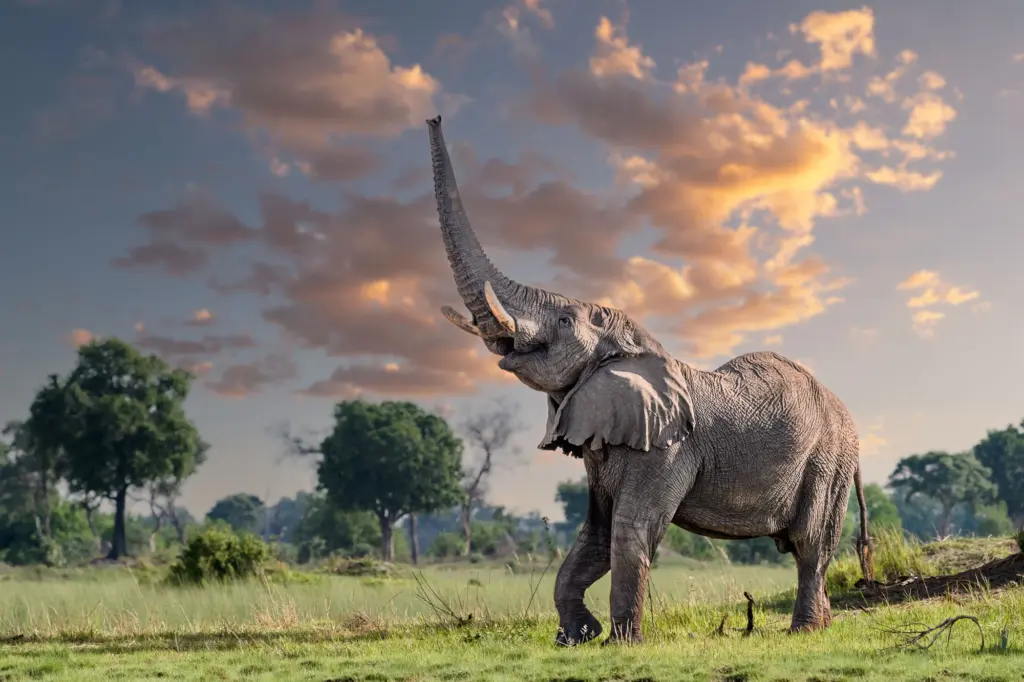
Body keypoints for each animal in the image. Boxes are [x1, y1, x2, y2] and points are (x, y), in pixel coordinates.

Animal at [424, 115, 875, 645]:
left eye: (563, 322)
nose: (434, 117)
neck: (637, 348)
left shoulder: (667, 448)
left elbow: (630, 530)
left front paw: (619, 643)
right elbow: (596, 535)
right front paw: (577, 637)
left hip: (827, 461)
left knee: (809, 543)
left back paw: (803, 631)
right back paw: (819, 626)